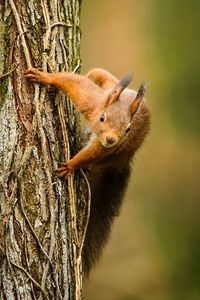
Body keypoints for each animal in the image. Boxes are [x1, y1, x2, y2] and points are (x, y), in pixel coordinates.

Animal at [24, 67, 150, 274]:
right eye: (102, 118)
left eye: (127, 129)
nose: (110, 139)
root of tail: (124, 161)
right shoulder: (90, 102)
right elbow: (74, 82)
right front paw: (46, 77)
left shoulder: (105, 149)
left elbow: (89, 155)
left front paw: (70, 166)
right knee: (101, 76)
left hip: (115, 155)